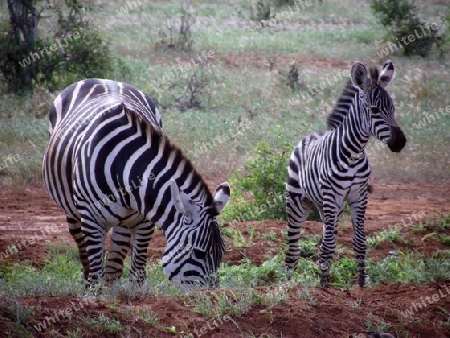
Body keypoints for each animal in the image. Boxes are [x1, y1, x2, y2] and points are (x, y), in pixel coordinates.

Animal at [43, 79, 230, 288]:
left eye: (222, 252)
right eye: (198, 253)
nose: (212, 293)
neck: (123, 169)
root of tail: (103, 79)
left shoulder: (145, 221)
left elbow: (137, 273)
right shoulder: (92, 220)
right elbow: (96, 272)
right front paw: (94, 293)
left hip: (124, 221)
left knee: (115, 263)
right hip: (74, 213)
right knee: (84, 252)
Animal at [286, 60, 406, 288]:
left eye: (393, 108)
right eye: (374, 110)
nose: (400, 142)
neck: (353, 153)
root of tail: (310, 136)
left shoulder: (359, 196)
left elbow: (359, 242)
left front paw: (361, 285)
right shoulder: (332, 196)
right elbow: (329, 245)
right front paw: (324, 288)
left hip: (328, 206)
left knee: (324, 239)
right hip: (298, 201)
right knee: (293, 248)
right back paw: (289, 282)